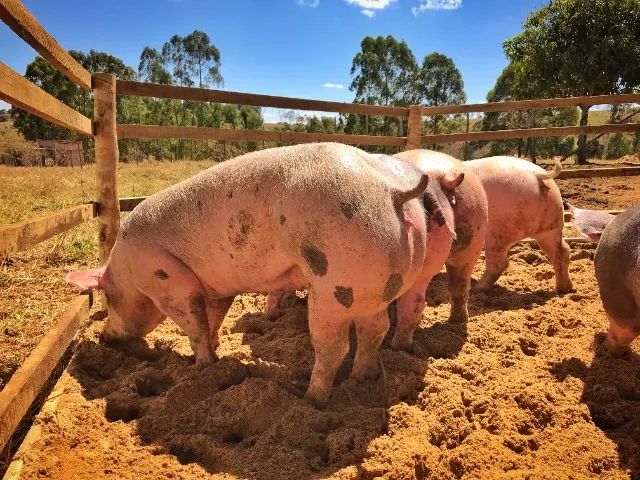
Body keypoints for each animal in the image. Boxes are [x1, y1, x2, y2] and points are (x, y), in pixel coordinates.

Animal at [66, 142, 456, 407]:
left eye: (107, 297)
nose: (105, 336)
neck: (127, 271)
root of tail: (394, 191)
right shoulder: (216, 287)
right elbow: (212, 318)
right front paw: (216, 352)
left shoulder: (168, 279)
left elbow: (192, 322)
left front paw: (201, 364)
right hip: (373, 287)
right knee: (376, 328)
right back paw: (362, 379)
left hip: (333, 285)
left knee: (333, 347)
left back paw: (309, 398)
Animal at [465, 157, 573, 293]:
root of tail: (536, 175)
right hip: (551, 225)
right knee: (562, 250)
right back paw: (563, 289)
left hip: (499, 229)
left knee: (499, 263)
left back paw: (478, 288)